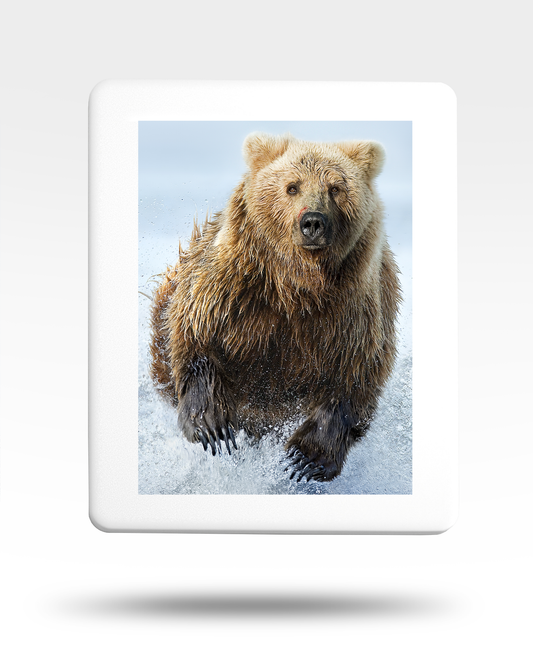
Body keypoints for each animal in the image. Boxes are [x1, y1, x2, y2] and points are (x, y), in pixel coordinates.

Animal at [149, 132, 401, 482]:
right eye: (292, 186)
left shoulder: (352, 308)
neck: (298, 284)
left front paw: (304, 459)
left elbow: (355, 376)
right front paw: (213, 428)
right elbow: (197, 335)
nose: (313, 222)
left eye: (336, 188)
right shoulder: (237, 287)